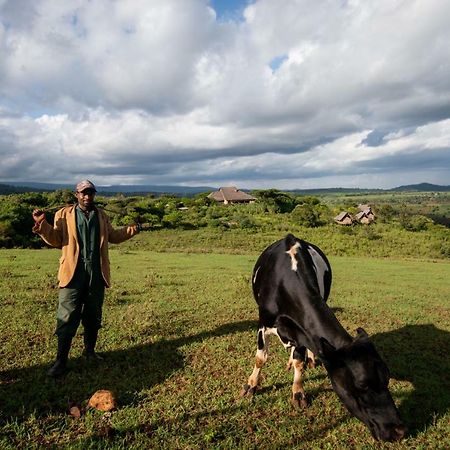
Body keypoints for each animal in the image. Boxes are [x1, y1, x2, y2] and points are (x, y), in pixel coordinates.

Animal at [241, 236, 406, 442]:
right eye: (362, 386)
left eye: (387, 379)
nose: (399, 431)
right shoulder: (263, 323)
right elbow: (260, 358)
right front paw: (251, 385)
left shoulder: (302, 332)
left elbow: (300, 361)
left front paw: (298, 392)